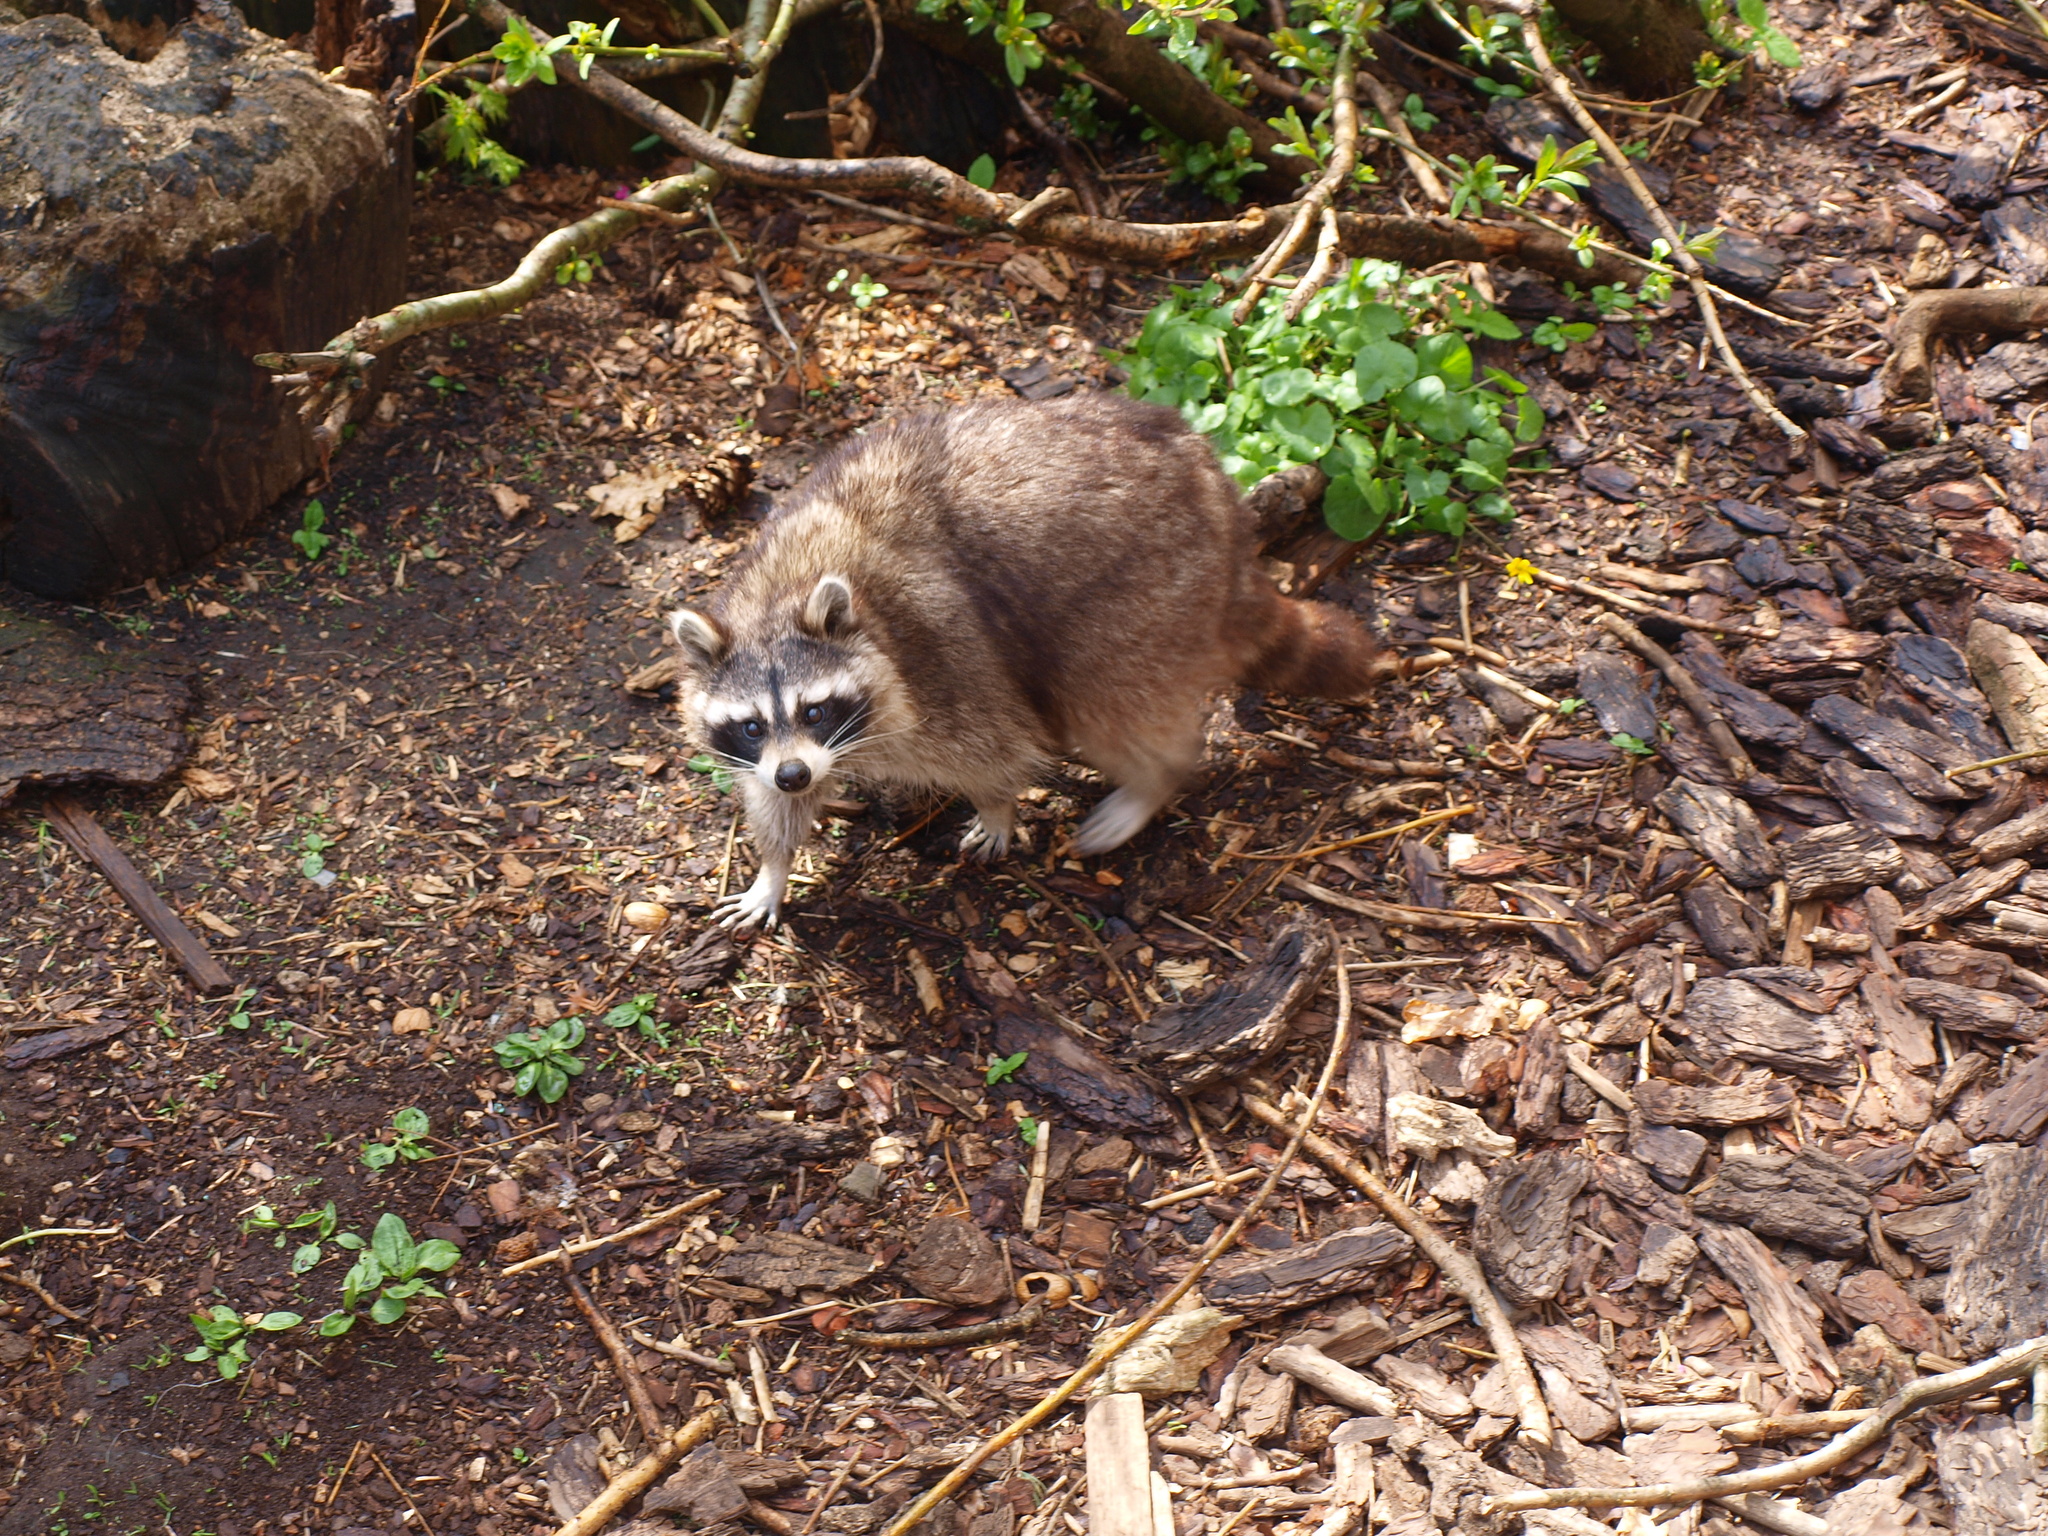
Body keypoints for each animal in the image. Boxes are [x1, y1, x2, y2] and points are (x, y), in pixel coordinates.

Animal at [671, 391, 1425, 933]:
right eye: (750, 725)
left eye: (815, 709)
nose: (797, 773)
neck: (780, 596)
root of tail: (1213, 491)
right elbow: (771, 803)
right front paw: (773, 867)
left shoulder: (937, 651)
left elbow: (992, 744)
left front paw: (999, 805)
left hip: (1144, 588)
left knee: (1111, 704)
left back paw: (1152, 780)